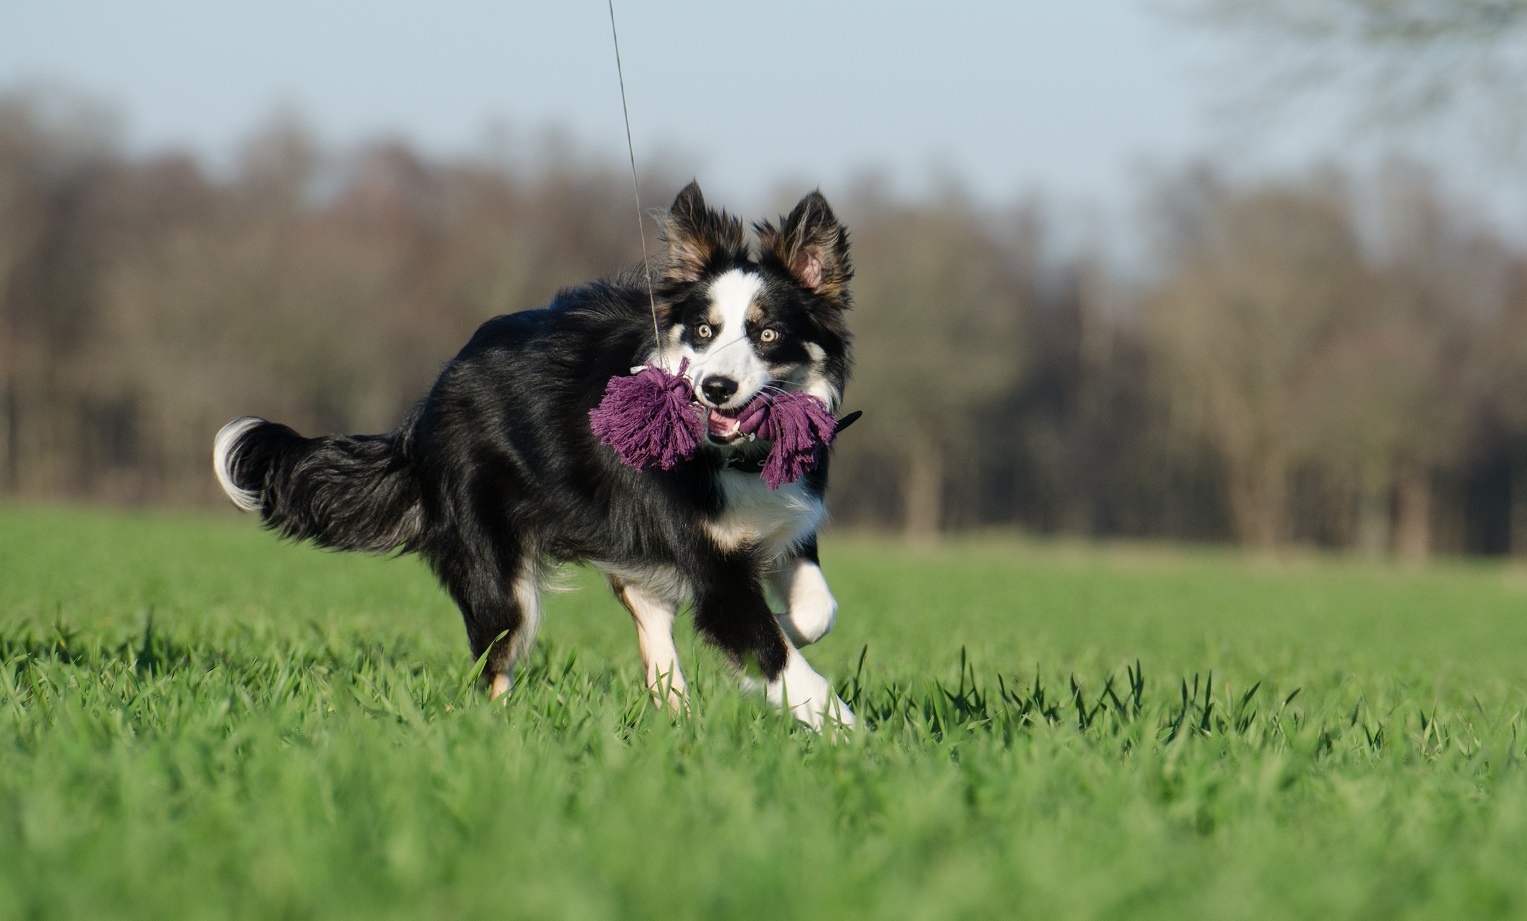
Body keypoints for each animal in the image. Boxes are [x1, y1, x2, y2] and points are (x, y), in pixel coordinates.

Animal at [215, 184, 861, 730]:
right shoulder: (712, 568)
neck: (737, 456)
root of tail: (424, 413)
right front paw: (851, 737)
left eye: (768, 334)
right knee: (494, 665)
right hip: (496, 571)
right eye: (703, 331)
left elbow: (819, 610)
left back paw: (675, 718)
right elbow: (777, 656)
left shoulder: (784, 527)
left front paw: (781, 635)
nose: (716, 389)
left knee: (643, 609)